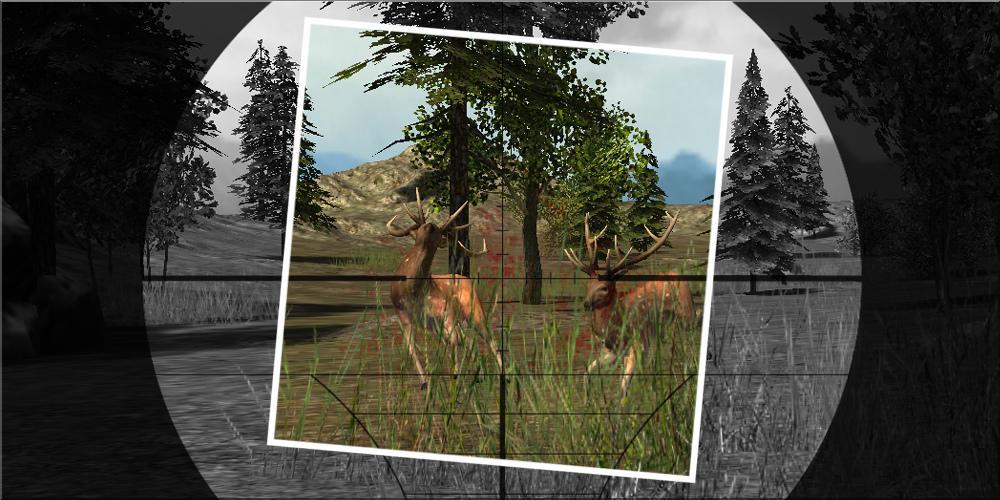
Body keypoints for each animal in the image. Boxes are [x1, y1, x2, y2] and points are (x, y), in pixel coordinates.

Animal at [386, 188, 503, 389]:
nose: (431, 226)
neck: (413, 289)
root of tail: (466, 279)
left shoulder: (446, 316)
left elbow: (452, 345)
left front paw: (454, 380)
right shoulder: (405, 314)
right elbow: (413, 348)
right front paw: (425, 382)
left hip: (474, 311)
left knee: (489, 340)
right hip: (456, 320)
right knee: (468, 341)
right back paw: (478, 377)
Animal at [564, 211, 696, 396]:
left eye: (604, 287)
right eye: (588, 285)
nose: (586, 304)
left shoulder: (639, 344)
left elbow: (624, 387)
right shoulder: (612, 351)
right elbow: (587, 373)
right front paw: (587, 398)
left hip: (686, 313)